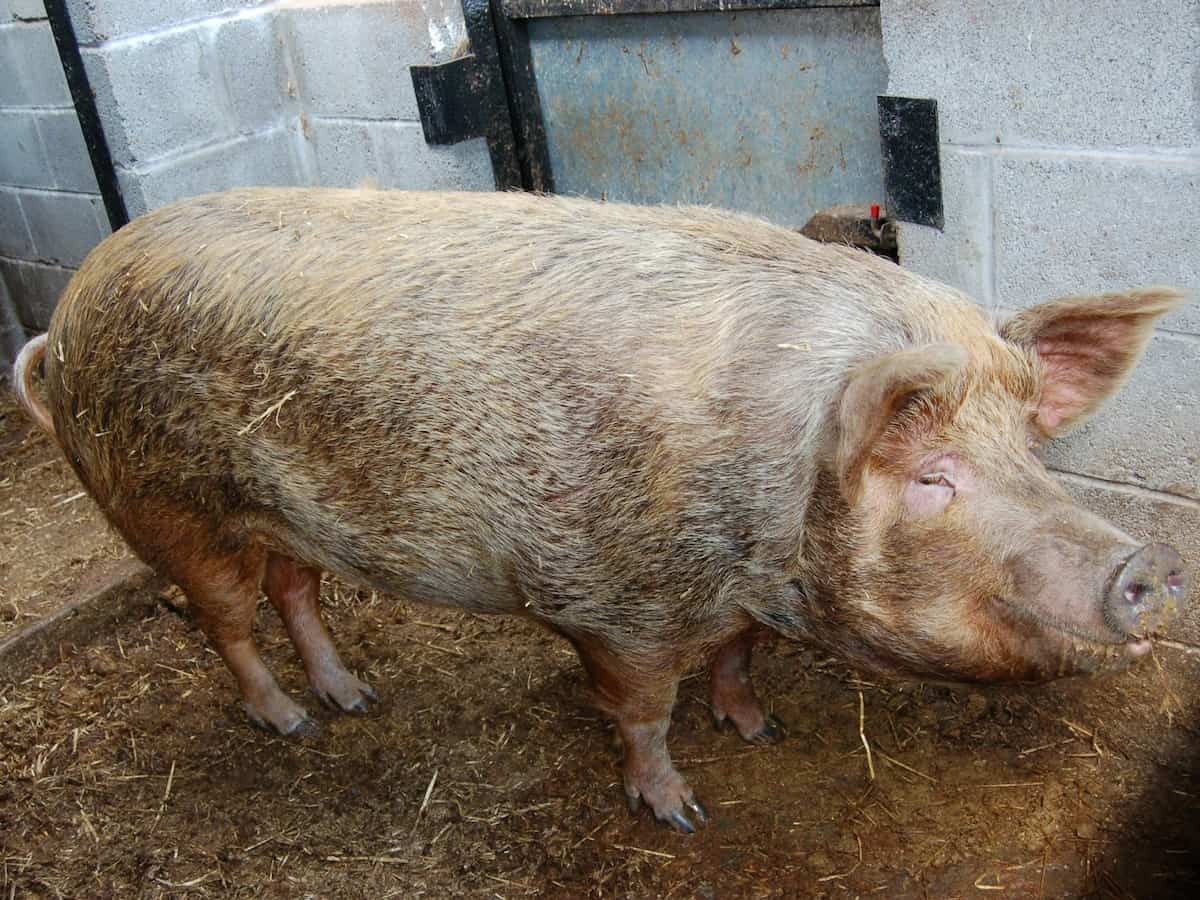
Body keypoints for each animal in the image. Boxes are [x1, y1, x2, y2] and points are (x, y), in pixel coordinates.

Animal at [12, 188, 1190, 833]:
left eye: (1031, 447)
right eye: (934, 476)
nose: (1146, 566)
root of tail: (67, 307)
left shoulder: (738, 601)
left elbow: (737, 662)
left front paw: (758, 727)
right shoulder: (610, 604)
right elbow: (641, 711)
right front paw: (679, 810)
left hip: (280, 515)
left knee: (295, 590)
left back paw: (355, 699)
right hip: (158, 502)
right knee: (224, 620)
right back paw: (289, 721)